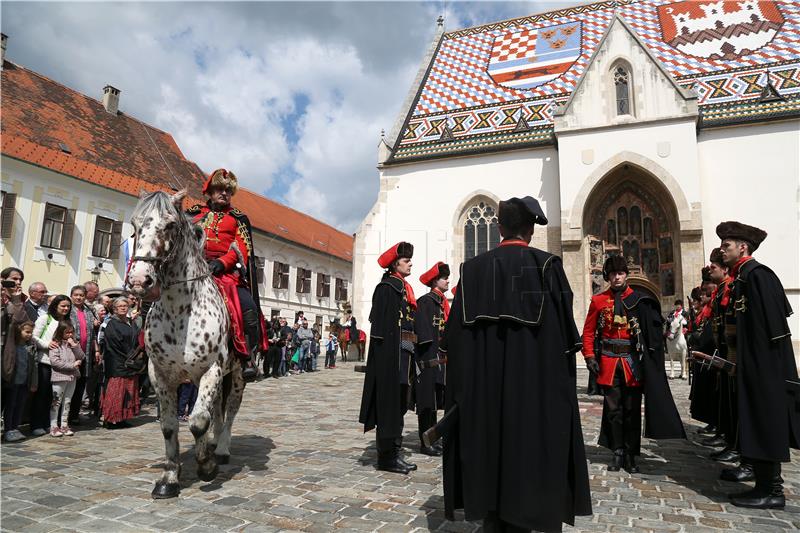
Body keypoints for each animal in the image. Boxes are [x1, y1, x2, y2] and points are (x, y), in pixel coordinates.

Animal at [124, 191, 244, 498]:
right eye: (135, 224)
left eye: (169, 225)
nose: (139, 280)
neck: (181, 311)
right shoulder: (160, 375)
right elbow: (169, 426)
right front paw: (169, 478)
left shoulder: (211, 370)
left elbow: (197, 421)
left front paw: (206, 466)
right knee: (217, 411)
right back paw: (214, 443)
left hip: (237, 375)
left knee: (230, 410)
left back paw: (221, 449)